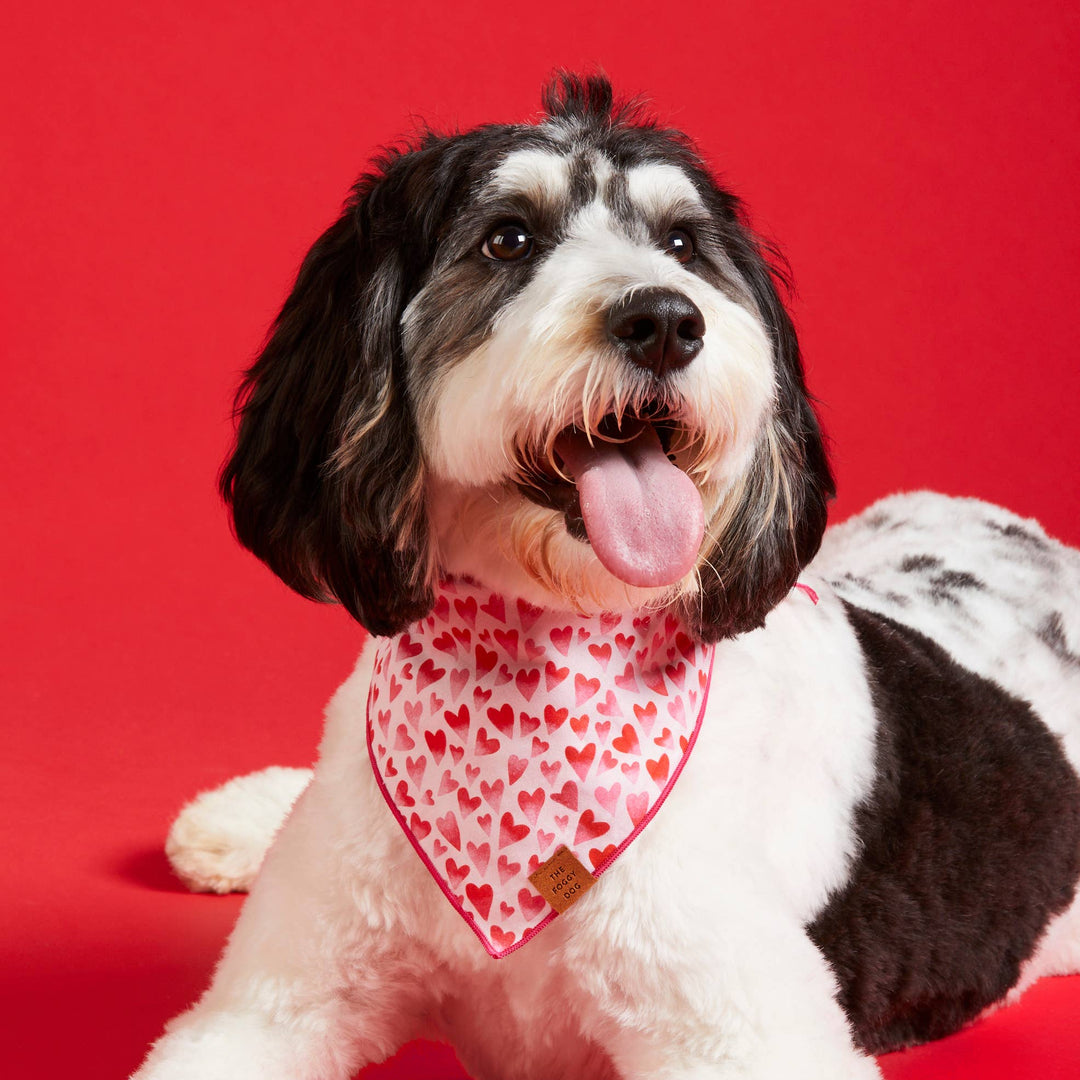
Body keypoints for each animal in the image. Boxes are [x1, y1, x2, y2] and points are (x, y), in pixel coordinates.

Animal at [132, 76, 1080, 1080]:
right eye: (508, 238)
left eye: (683, 244)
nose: (665, 320)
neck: (532, 667)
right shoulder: (269, 1006)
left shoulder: (746, 1038)